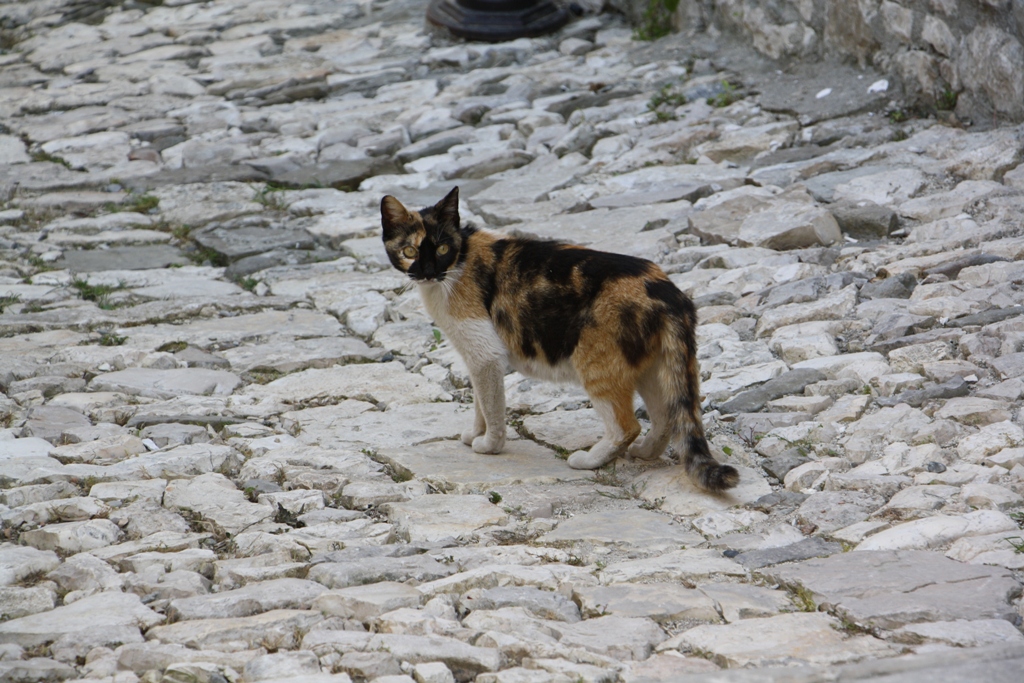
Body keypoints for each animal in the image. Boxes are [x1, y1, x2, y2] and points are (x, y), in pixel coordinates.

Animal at [380, 187, 741, 491]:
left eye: (442, 248)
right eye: (409, 250)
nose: (427, 271)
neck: (459, 262)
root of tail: (671, 293)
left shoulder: (485, 355)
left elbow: (492, 407)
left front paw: (489, 445)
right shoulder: (476, 359)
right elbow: (480, 403)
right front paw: (474, 434)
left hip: (597, 365)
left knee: (626, 426)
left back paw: (590, 460)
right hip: (652, 367)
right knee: (667, 417)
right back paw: (645, 452)